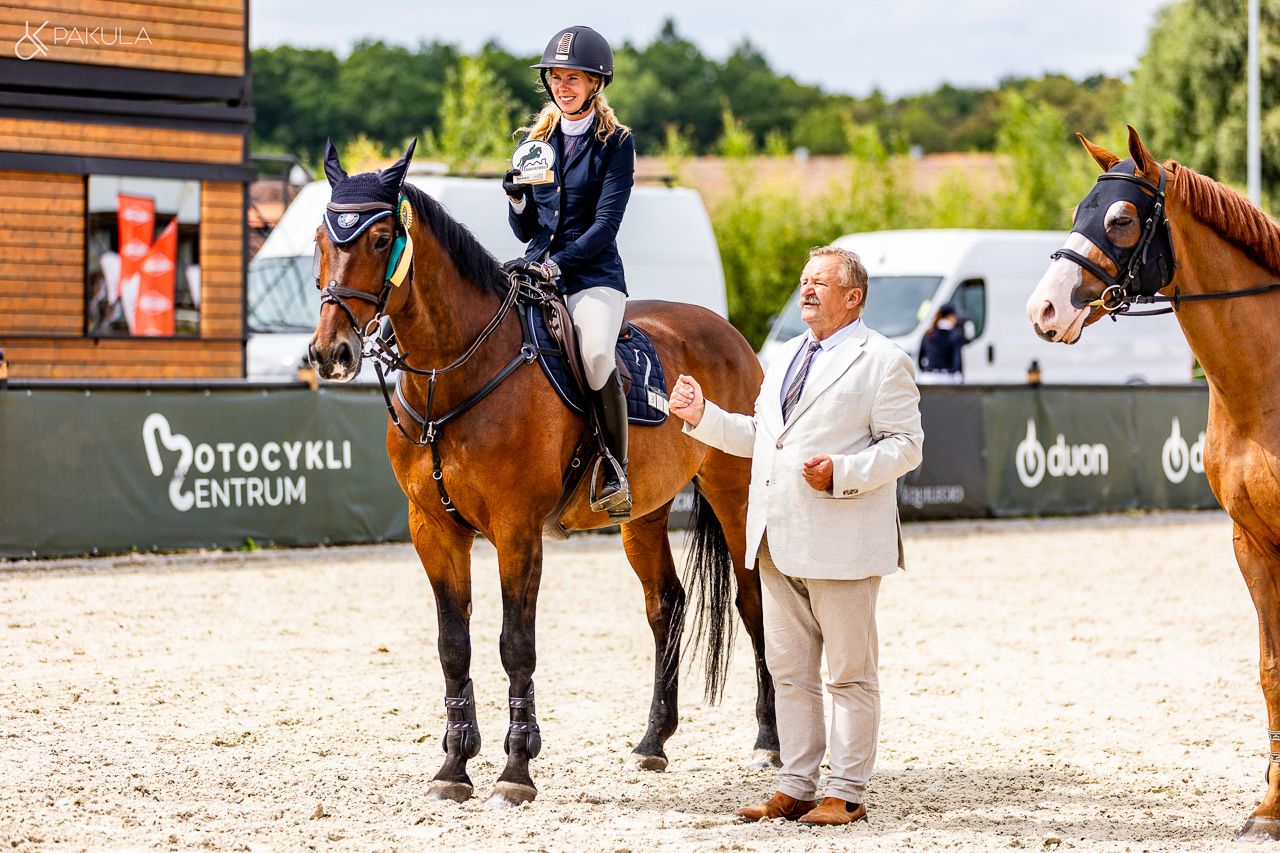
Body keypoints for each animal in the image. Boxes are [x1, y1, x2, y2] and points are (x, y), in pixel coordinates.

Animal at [306, 141, 779, 807]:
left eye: (378, 239)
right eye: (321, 239)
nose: (332, 353)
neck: (456, 372)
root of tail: (731, 334)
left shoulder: (517, 531)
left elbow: (515, 644)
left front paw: (515, 768)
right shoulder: (433, 531)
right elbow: (454, 645)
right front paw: (454, 766)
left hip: (735, 496)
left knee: (753, 599)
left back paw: (769, 739)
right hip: (643, 514)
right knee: (665, 605)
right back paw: (653, 742)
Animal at [1027, 126, 1280, 840]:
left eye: (1120, 219)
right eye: (1079, 211)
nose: (1043, 308)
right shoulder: (1251, 543)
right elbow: (1271, 670)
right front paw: (1271, 806)